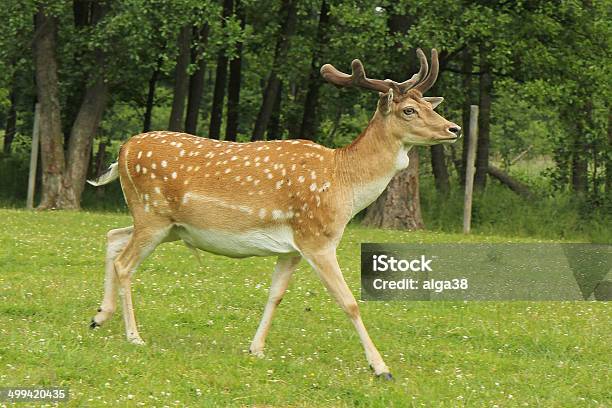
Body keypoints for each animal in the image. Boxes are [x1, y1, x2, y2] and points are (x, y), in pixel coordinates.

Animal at [87, 48, 460, 380]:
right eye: (409, 110)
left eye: (429, 105)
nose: (453, 129)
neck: (343, 185)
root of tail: (123, 150)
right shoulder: (316, 238)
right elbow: (349, 301)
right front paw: (381, 368)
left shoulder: (292, 248)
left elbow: (275, 295)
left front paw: (256, 349)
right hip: (152, 215)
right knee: (125, 263)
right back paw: (134, 336)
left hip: (165, 225)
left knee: (112, 237)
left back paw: (99, 316)